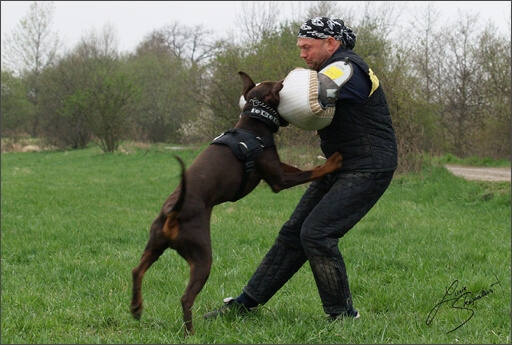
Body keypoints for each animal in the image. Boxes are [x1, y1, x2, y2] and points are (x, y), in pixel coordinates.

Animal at [130, 71, 342, 334]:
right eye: (280, 90)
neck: (253, 123)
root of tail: (174, 212)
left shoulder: (276, 168)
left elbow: (299, 168)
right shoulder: (278, 180)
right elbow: (311, 171)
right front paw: (333, 161)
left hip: (155, 244)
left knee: (137, 270)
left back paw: (136, 308)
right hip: (202, 256)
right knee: (186, 298)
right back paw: (190, 333)